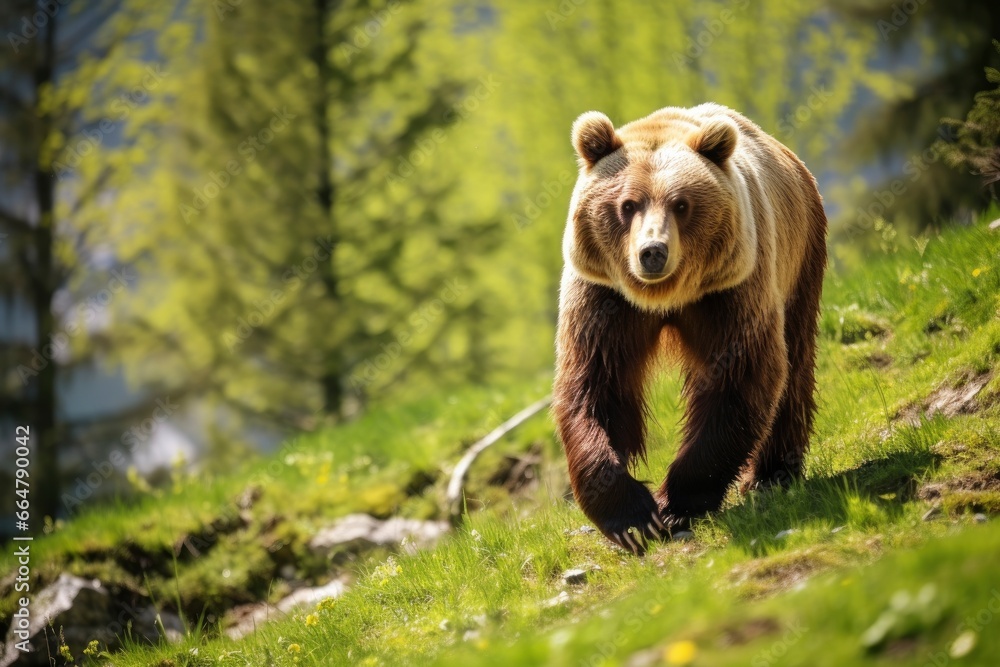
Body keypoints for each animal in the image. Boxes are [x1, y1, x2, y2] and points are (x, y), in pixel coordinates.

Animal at [553, 103, 827, 554]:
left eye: (681, 204)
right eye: (628, 204)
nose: (653, 252)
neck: (662, 298)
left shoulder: (731, 289)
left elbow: (740, 376)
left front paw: (674, 506)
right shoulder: (603, 296)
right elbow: (594, 383)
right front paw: (632, 519)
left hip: (800, 254)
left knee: (796, 359)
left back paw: (771, 475)